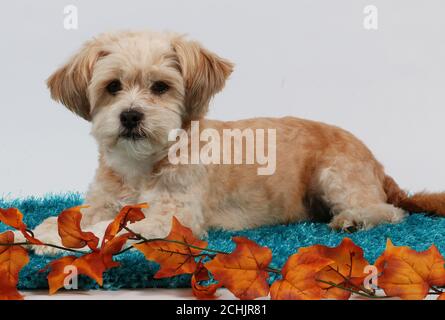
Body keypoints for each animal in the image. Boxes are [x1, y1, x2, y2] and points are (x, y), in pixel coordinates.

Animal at [32, 30, 444, 255]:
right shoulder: (102, 201)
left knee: (390, 211)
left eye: (160, 87)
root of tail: (376, 163)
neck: (141, 167)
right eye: (112, 86)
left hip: (335, 175)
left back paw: (353, 219)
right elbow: (77, 216)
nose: (130, 116)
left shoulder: (174, 217)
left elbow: (111, 227)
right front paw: (48, 231)